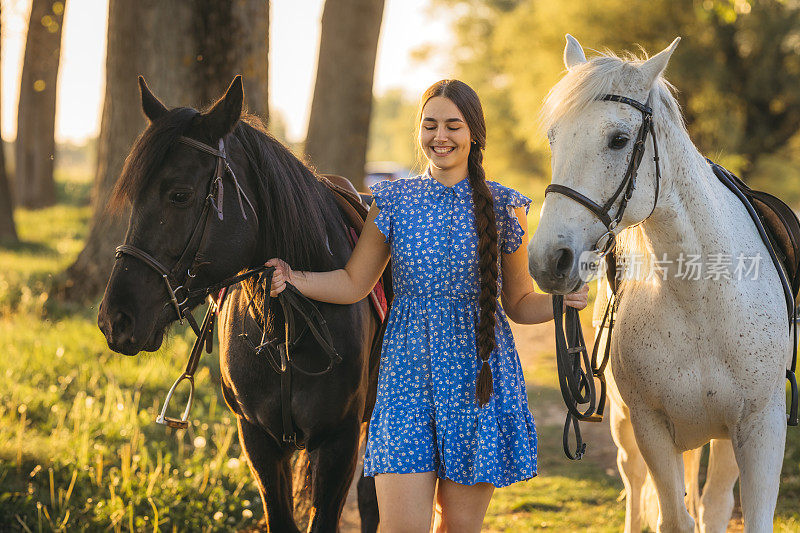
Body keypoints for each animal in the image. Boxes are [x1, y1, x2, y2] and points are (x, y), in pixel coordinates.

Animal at [99, 77, 382, 528]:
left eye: (180, 195)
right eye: (134, 198)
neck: (288, 328)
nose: (115, 319)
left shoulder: (339, 443)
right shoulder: (258, 441)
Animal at [528, 35, 792, 528]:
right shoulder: (650, 426)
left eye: (618, 140)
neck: (701, 296)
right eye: (554, 138)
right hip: (625, 428)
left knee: (713, 503)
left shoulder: (760, 424)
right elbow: (672, 518)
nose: (547, 260)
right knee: (636, 490)